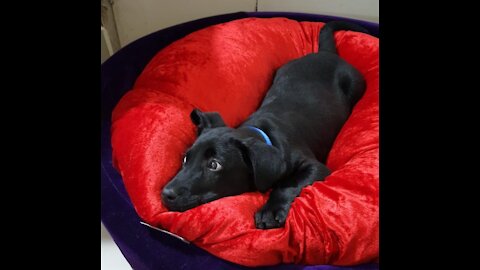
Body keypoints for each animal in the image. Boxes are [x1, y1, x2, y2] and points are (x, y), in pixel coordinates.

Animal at [161, 21, 368, 229]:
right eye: (185, 158)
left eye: (214, 164)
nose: (165, 194)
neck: (262, 133)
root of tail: (326, 53)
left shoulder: (315, 167)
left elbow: (288, 184)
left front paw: (271, 210)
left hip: (356, 85)